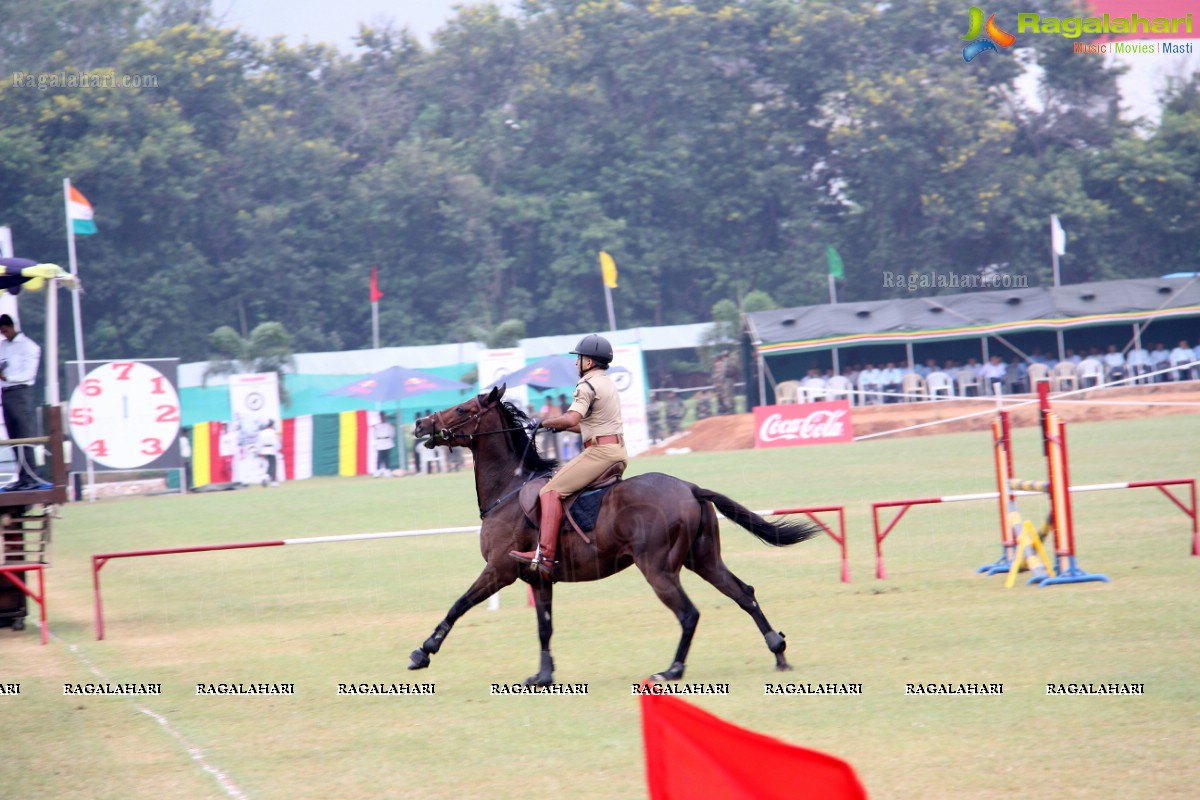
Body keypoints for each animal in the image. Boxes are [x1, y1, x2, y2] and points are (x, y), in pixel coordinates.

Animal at [408, 383, 820, 686]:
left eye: (462, 410)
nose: (420, 424)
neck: (509, 489)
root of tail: (690, 487)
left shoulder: (499, 570)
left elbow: (459, 605)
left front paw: (423, 651)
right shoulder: (539, 578)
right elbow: (545, 627)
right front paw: (543, 675)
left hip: (658, 568)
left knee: (689, 613)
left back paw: (671, 670)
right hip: (704, 559)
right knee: (743, 593)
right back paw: (778, 651)